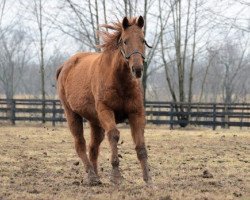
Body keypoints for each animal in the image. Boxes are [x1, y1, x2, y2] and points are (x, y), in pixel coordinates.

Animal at [56, 16, 152, 186]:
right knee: (80, 145)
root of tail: (65, 66)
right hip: (72, 115)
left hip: (95, 122)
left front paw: (148, 179)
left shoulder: (136, 114)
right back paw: (92, 175)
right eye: (125, 41)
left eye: (143, 40)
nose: (137, 69)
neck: (119, 81)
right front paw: (116, 176)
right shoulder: (106, 111)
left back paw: (95, 175)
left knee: (93, 147)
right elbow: (114, 135)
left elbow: (140, 146)